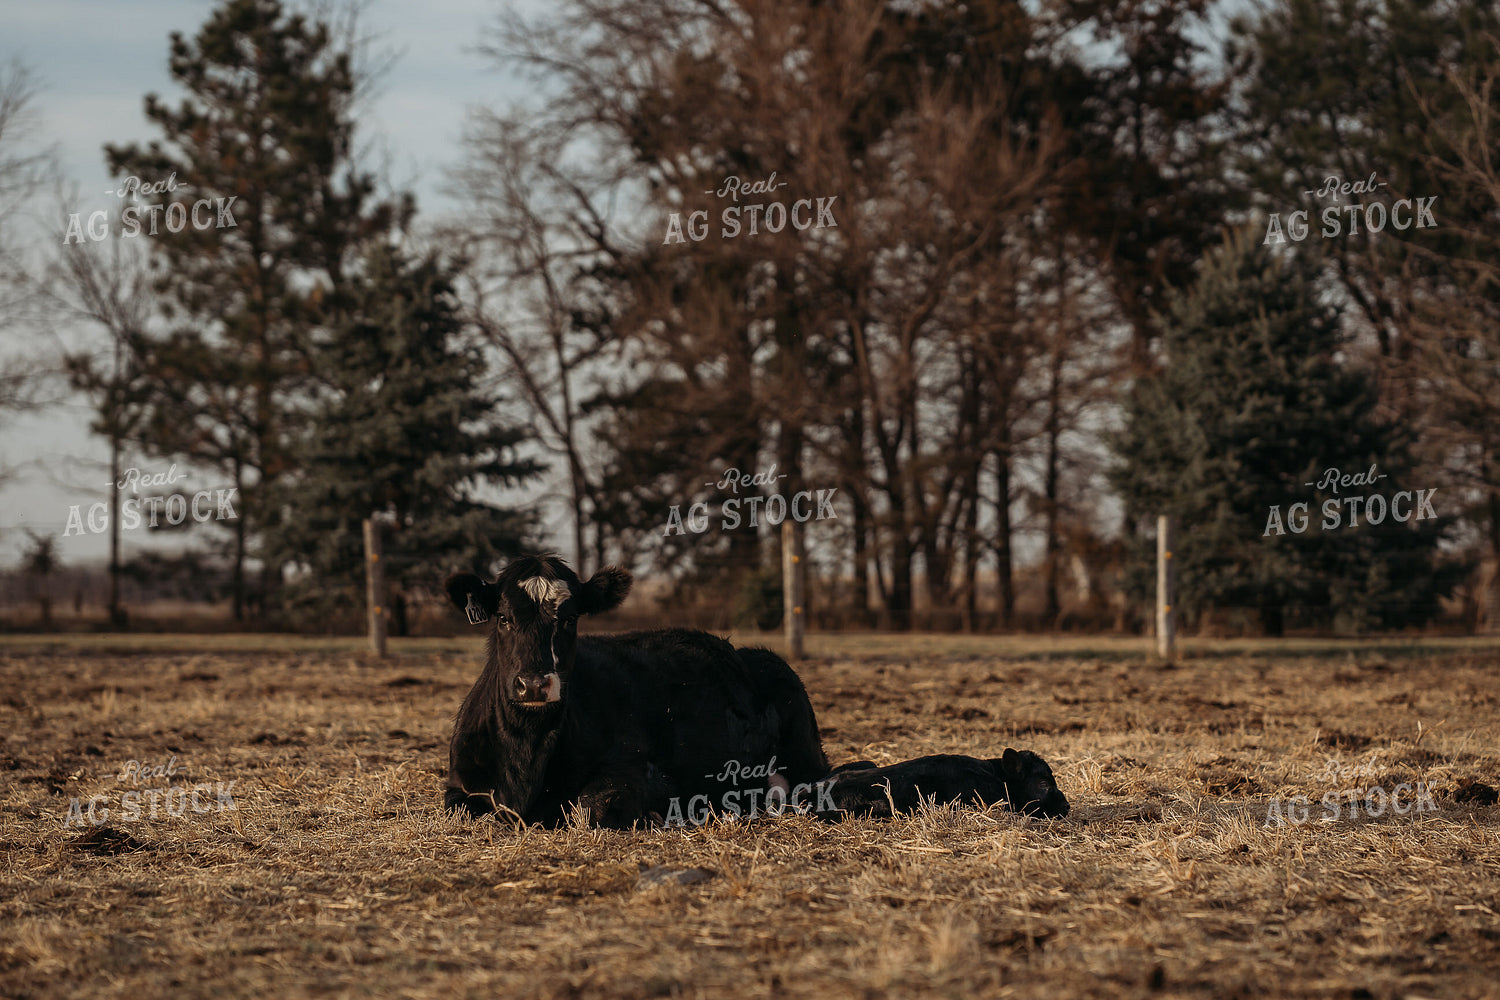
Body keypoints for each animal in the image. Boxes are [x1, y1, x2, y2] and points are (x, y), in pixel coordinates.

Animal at [442, 555, 1068, 828]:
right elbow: (467, 808)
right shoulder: (459, 787)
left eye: (571, 619)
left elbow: (592, 808)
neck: (527, 758)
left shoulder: (641, 775)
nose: (534, 683)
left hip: (803, 748)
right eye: (502, 617)